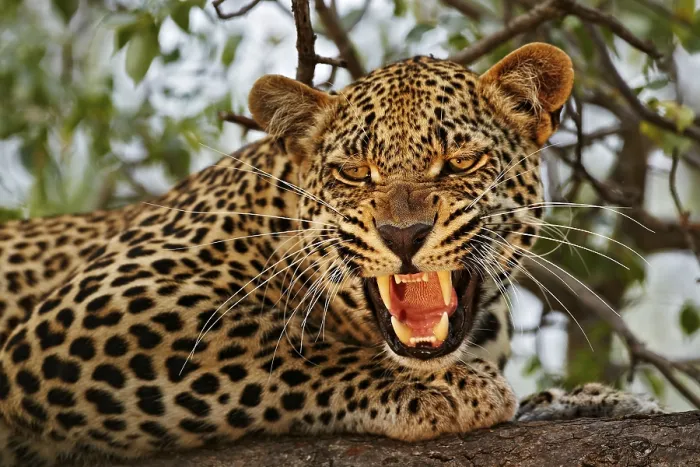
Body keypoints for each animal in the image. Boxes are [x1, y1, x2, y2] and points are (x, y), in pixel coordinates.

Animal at [0, 43, 663, 466]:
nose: (404, 234)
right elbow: (279, 347)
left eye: (460, 162)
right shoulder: (79, 319)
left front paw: (591, 402)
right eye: (353, 172)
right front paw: (443, 389)